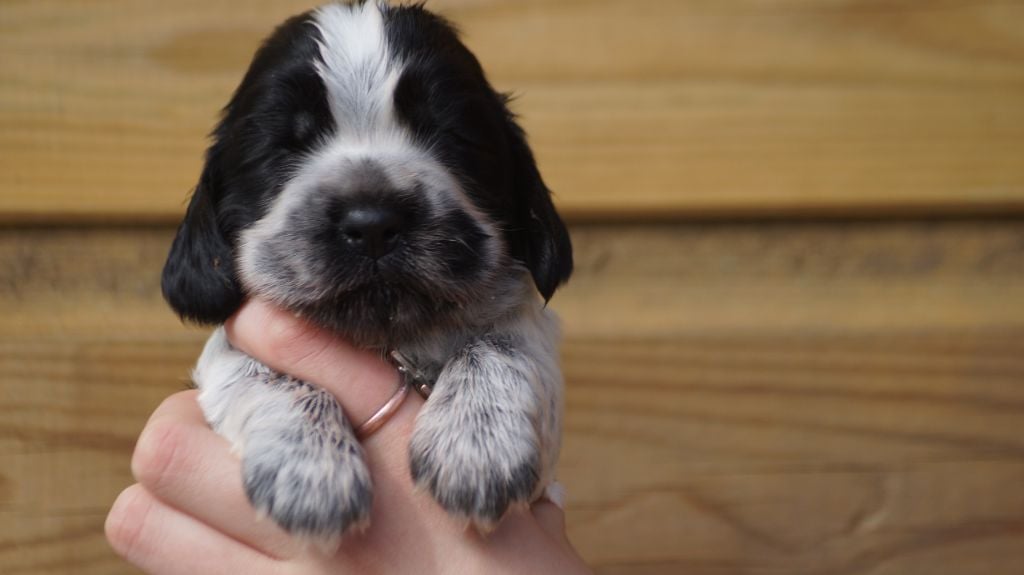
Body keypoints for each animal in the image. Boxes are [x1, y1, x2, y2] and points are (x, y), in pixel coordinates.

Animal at [163, 0, 573, 540]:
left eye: (450, 136)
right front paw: (310, 472)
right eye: (282, 148)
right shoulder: (228, 357)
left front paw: (477, 442)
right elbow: (259, 371)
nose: (373, 223)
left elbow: (503, 341)